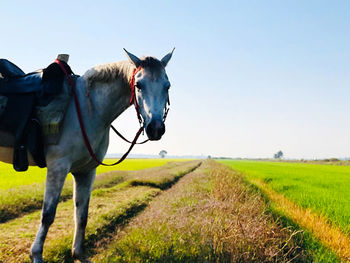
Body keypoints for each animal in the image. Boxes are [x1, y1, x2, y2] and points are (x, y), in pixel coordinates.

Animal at [0, 49, 174, 262]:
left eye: (167, 86)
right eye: (139, 85)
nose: (156, 128)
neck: (87, 109)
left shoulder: (86, 170)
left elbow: (82, 214)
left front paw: (78, 253)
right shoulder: (58, 166)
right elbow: (48, 214)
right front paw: (36, 254)